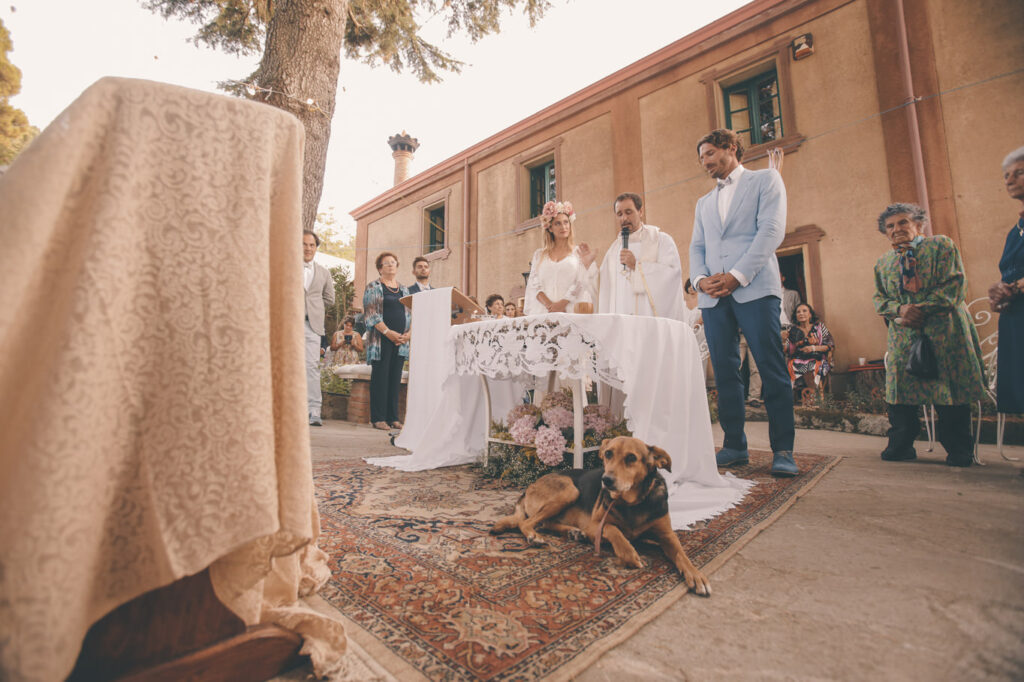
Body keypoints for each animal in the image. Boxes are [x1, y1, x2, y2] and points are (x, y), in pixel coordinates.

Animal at [489, 436, 712, 593]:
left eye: (631, 458)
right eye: (608, 454)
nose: (606, 480)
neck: (632, 502)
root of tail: (529, 487)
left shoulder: (667, 535)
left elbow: (682, 554)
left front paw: (696, 576)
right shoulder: (595, 525)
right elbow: (615, 530)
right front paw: (629, 554)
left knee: (546, 523)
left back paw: (572, 532)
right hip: (570, 490)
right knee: (527, 524)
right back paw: (534, 537)